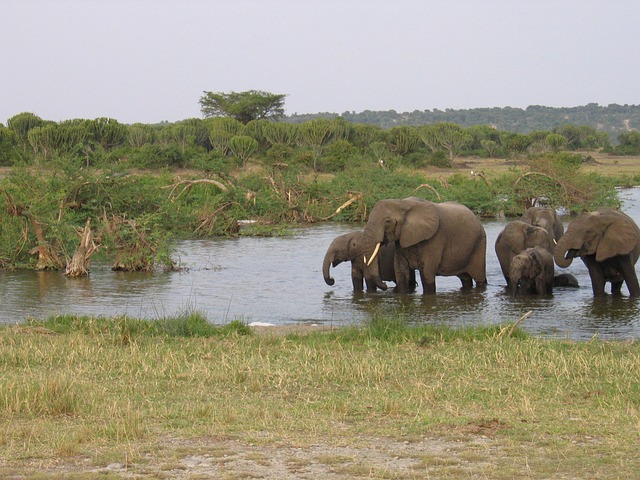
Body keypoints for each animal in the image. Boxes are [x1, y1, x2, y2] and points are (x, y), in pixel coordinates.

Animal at [356, 198, 484, 294]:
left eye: (388, 221)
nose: (386, 285)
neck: (403, 203)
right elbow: (401, 271)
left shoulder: (435, 238)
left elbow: (427, 273)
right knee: (466, 279)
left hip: (479, 244)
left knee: (480, 279)